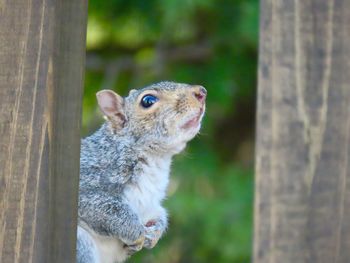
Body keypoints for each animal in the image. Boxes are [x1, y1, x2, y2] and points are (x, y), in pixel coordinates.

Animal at [76, 81, 206, 262]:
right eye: (148, 100)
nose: (201, 92)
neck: (156, 158)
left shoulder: (151, 203)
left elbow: (159, 213)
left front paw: (155, 233)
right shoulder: (89, 177)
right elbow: (103, 207)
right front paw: (138, 233)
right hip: (81, 245)